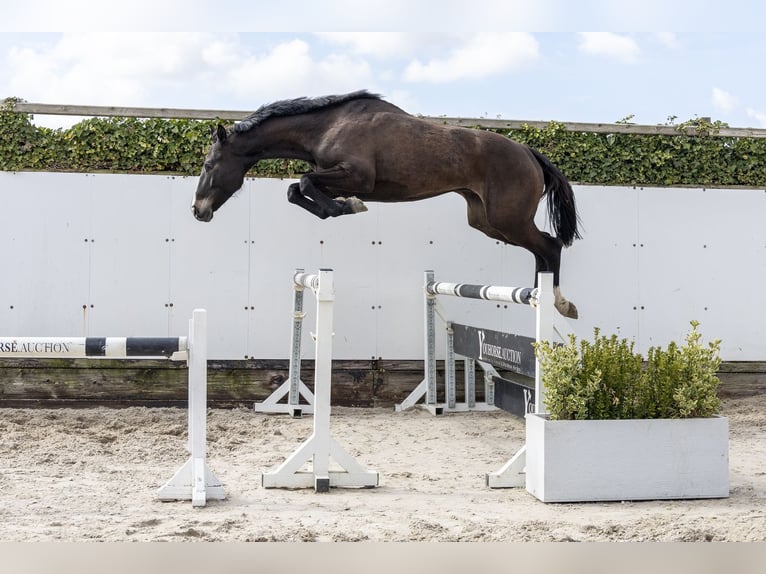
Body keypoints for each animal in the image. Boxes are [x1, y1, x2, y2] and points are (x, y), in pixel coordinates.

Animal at [192, 90, 581, 318]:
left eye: (209, 165)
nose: (197, 210)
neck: (325, 126)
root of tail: (528, 152)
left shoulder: (357, 176)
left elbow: (303, 183)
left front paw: (349, 206)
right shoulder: (338, 177)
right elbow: (295, 189)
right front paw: (342, 207)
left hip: (507, 218)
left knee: (550, 244)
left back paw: (558, 302)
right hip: (486, 221)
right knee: (541, 249)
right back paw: (538, 295)